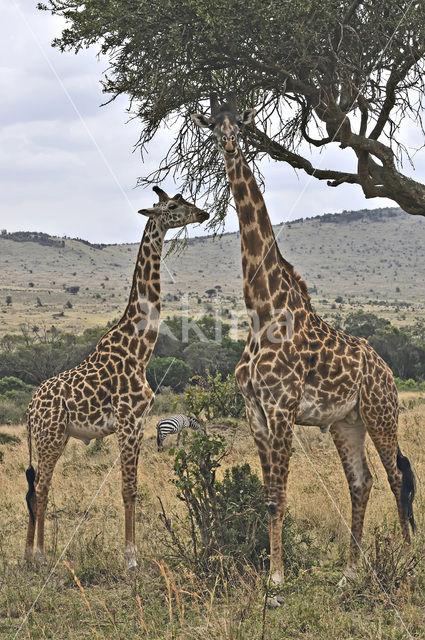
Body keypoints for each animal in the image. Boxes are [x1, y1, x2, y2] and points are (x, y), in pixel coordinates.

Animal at [24, 188, 209, 568]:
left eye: (184, 199)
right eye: (172, 206)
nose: (203, 213)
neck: (140, 350)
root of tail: (30, 409)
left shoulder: (139, 423)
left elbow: (133, 488)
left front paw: (133, 554)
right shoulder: (127, 421)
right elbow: (127, 488)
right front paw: (130, 559)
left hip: (53, 437)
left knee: (37, 489)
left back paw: (31, 554)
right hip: (50, 436)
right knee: (41, 489)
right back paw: (39, 556)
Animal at [191, 95, 414, 604]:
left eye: (241, 124)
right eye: (213, 125)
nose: (229, 145)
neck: (262, 309)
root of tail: (387, 371)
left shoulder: (281, 407)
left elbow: (279, 495)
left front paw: (276, 581)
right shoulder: (255, 409)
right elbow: (269, 496)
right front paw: (272, 576)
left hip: (380, 411)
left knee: (396, 477)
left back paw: (410, 562)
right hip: (347, 421)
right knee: (362, 482)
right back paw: (349, 573)